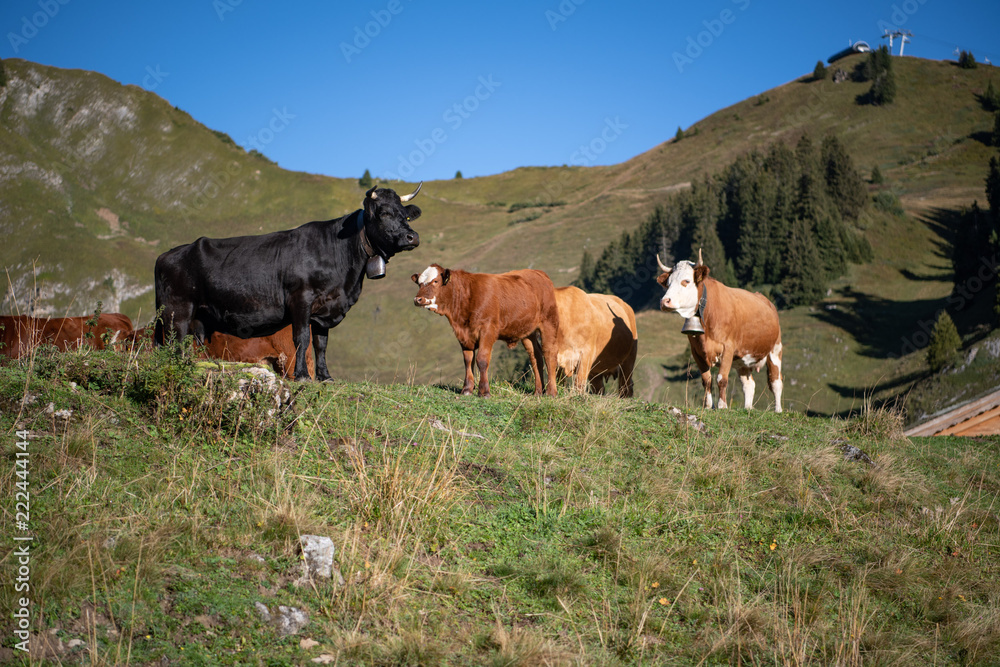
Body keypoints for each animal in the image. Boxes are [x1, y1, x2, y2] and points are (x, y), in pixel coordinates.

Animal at [153, 183, 422, 380]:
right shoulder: (300, 299)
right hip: (177, 311)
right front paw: (302, 376)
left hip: (193, 316)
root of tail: (168, 254)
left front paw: (325, 377)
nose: (413, 237)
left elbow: (321, 344)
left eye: (406, 216)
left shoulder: (326, 308)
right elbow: (301, 338)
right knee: (174, 343)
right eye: (384, 213)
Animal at [408, 264, 564, 396]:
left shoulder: (487, 330)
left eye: (435, 281)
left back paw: (551, 392)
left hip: (549, 322)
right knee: (535, 356)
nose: (418, 299)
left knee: (549, 354)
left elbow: (482, 359)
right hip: (527, 331)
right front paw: (467, 389)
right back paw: (538, 391)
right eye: (419, 283)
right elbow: (468, 360)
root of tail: (539, 273)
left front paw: (484, 391)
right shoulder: (463, 335)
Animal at [656, 253, 780, 412]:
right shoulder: (696, 351)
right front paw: (708, 406)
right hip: (742, 360)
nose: (665, 301)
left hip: (775, 349)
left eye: (686, 281)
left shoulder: (728, 348)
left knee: (776, 382)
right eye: (668, 283)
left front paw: (722, 405)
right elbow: (706, 379)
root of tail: (766, 300)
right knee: (749, 384)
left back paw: (778, 410)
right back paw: (747, 408)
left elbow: (721, 378)